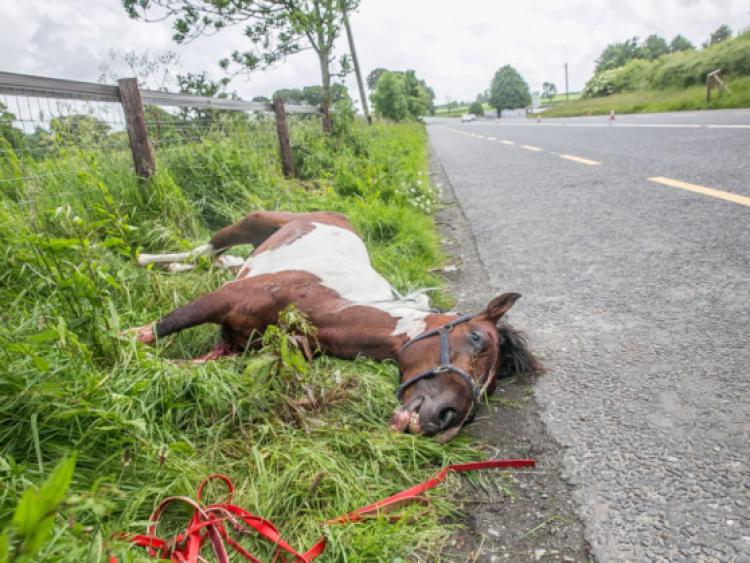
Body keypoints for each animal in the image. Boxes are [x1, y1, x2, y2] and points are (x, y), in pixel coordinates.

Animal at [128, 211, 540, 442]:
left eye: (492, 387)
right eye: (476, 337)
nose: (447, 418)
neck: (324, 306)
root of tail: (335, 216)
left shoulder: (233, 349)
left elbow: (176, 368)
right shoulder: (222, 300)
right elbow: (160, 327)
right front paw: (121, 345)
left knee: (217, 260)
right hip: (253, 223)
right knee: (208, 248)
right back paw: (147, 258)